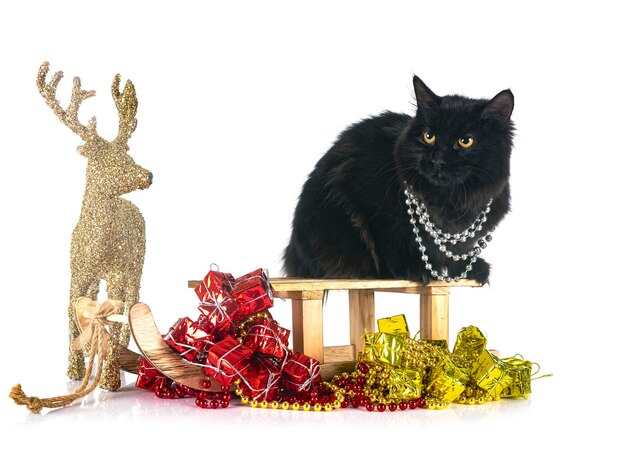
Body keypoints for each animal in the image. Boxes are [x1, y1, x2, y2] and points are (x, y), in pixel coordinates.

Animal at [282, 76, 512, 282]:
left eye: (465, 141)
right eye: (429, 136)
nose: (437, 160)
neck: (448, 201)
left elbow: (457, 250)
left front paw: (469, 269)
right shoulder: (367, 200)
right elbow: (389, 243)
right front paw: (414, 269)